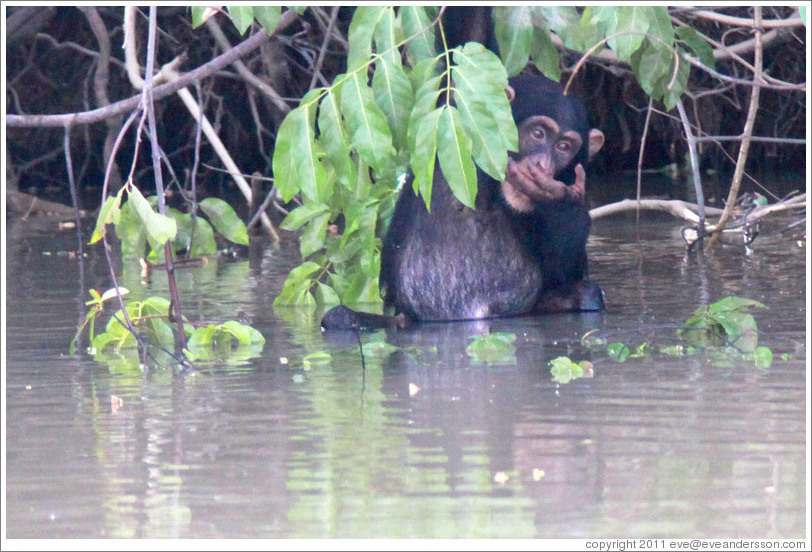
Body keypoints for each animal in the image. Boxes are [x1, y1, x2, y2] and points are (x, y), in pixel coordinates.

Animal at [320, 72, 604, 328]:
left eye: (563, 147)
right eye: (538, 133)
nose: (542, 165)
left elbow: (563, 272)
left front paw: (561, 201)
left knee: (590, 295)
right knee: (338, 318)